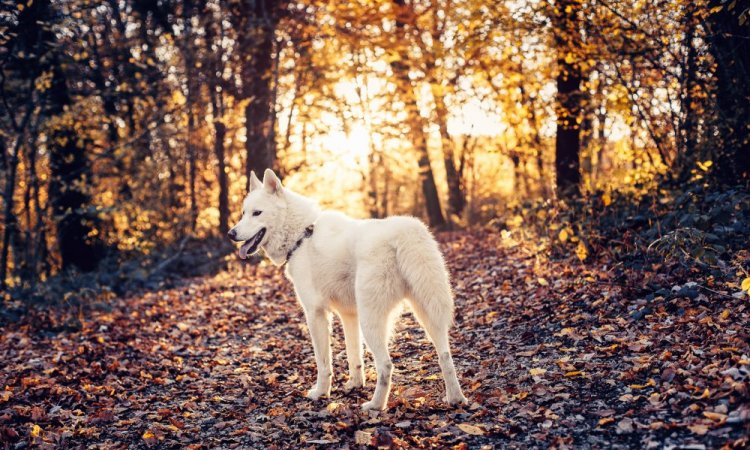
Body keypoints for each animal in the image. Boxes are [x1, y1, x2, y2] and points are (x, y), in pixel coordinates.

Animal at [226, 170, 468, 412]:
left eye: (257, 213)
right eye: (243, 213)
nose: (231, 233)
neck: (301, 236)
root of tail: (403, 231)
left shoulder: (316, 314)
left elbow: (323, 363)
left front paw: (320, 393)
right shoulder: (349, 315)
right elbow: (354, 356)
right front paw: (355, 385)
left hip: (372, 320)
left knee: (386, 366)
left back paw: (375, 406)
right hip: (427, 313)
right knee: (445, 357)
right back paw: (455, 399)